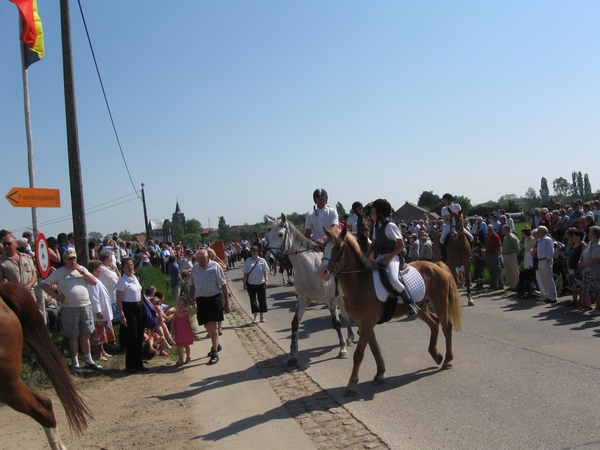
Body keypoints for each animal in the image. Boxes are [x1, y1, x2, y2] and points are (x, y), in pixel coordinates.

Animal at [264, 214, 354, 366]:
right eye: (268, 236)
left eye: (281, 234)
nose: (269, 259)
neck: (310, 268)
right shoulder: (303, 299)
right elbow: (295, 323)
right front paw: (293, 355)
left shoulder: (330, 299)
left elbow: (336, 323)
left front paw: (342, 350)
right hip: (339, 296)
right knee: (346, 313)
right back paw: (350, 337)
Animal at [318, 227, 464, 396]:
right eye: (323, 247)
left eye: (338, 248)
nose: (322, 272)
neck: (361, 282)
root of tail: (438, 265)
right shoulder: (364, 324)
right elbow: (374, 349)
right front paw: (380, 374)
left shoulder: (367, 323)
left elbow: (359, 354)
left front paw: (351, 384)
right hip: (421, 307)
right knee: (434, 324)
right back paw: (436, 355)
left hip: (440, 304)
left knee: (447, 327)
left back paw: (447, 360)